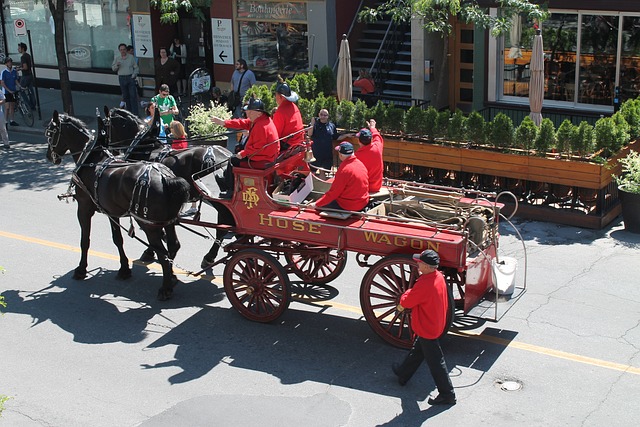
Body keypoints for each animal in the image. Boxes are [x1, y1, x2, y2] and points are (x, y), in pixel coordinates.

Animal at [45, 112, 190, 302]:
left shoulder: (84, 208)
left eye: (50, 132)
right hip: (169, 221)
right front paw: (124, 269)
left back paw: (165, 288)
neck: (91, 159)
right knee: (173, 246)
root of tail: (166, 178)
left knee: (163, 254)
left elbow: (85, 240)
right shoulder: (111, 212)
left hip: (149, 225)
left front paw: (81, 269)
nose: (49, 156)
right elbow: (117, 239)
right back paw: (171, 277)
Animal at [105, 107, 235, 268]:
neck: (146, 149)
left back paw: (210, 256)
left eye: (106, 126)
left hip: (217, 201)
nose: (110, 150)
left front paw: (151, 250)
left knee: (225, 226)